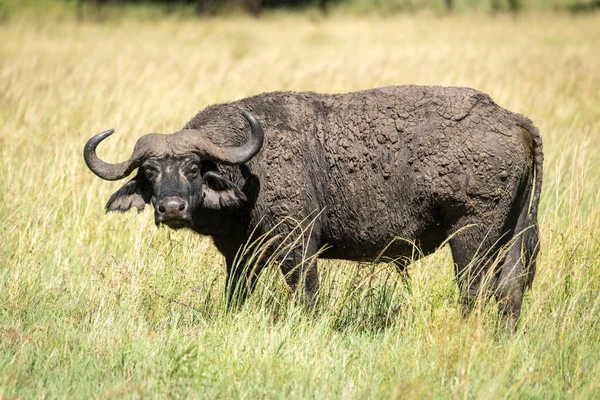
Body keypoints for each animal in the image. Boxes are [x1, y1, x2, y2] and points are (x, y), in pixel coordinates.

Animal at [84, 85, 544, 328]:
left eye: (194, 167)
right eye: (149, 173)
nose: (172, 208)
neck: (252, 167)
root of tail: (514, 119)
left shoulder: (298, 244)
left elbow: (307, 296)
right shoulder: (240, 255)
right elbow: (236, 295)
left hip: (472, 237)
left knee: (473, 291)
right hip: (514, 233)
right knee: (511, 290)